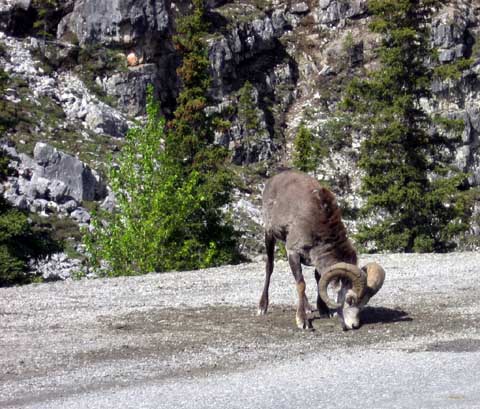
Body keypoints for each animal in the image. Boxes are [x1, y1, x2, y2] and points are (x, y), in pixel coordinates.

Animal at [258, 171, 386, 330]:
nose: (354, 325)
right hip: (269, 234)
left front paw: (323, 311)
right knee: (269, 267)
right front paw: (303, 321)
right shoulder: (293, 252)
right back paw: (262, 307)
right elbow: (301, 284)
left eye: (365, 302)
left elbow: (317, 280)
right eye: (349, 300)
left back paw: (308, 307)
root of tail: (273, 179)